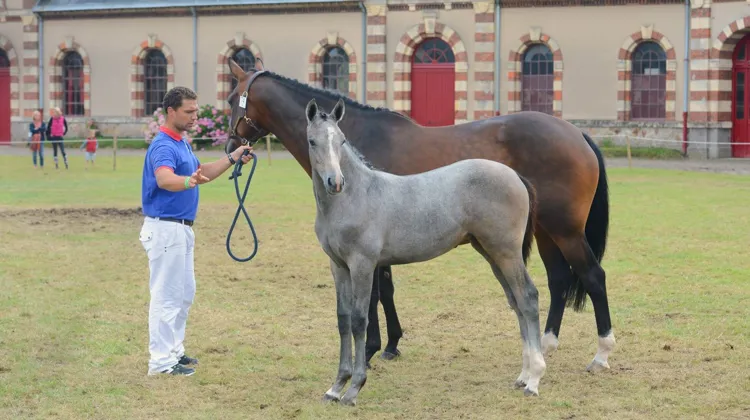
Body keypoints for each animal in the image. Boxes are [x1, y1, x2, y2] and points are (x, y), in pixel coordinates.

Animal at [224, 59, 615, 373]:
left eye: (231, 100)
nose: (229, 147)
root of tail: (577, 133)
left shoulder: (368, 246)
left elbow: (375, 294)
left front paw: (372, 349)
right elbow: (387, 291)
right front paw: (392, 344)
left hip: (566, 231)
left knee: (593, 276)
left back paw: (600, 354)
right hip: (548, 232)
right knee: (559, 280)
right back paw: (545, 344)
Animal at [305, 97, 545, 404]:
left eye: (342, 140)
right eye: (312, 141)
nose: (335, 182)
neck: (355, 196)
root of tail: (515, 175)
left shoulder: (362, 265)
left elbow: (360, 320)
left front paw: (354, 387)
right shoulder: (338, 266)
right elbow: (343, 320)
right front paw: (336, 387)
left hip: (507, 253)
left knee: (528, 297)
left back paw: (534, 379)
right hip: (491, 253)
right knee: (516, 301)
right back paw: (524, 375)